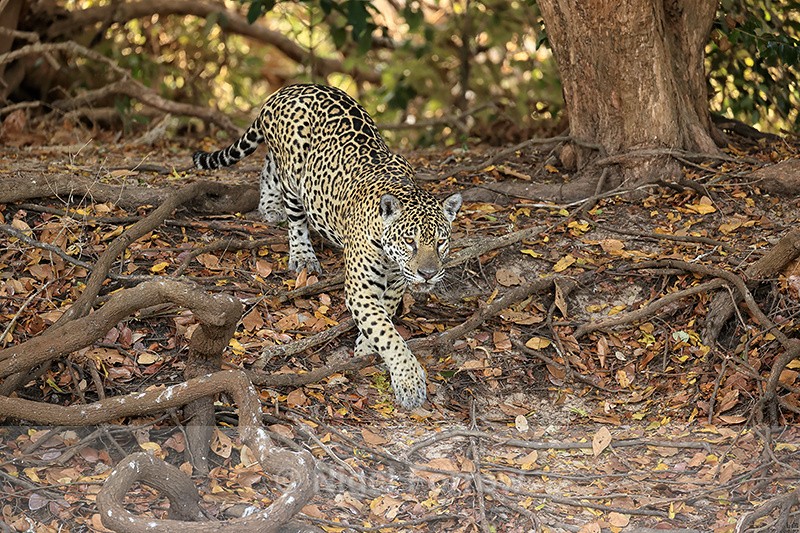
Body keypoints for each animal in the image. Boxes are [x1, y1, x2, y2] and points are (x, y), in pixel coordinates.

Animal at [193, 84, 462, 410]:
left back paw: (269, 206)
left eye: (440, 242)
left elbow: (382, 317)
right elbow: (386, 331)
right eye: (409, 241)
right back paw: (302, 254)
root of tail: (285, 91)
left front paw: (365, 346)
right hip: (295, 172)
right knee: (292, 206)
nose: (428, 274)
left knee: (268, 166)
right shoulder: (360, 288)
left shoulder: (396, 284)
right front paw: (408, 382)